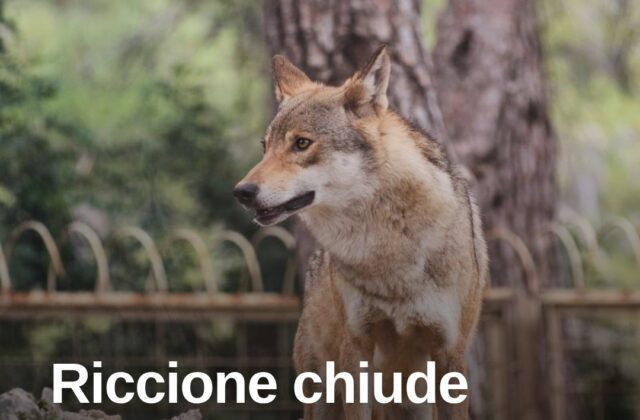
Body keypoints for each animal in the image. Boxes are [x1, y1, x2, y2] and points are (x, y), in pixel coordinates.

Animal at [233, 46, 487, 420]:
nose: (242, 192)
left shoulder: (451, 354)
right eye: (265, 147)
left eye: (302, 143)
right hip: (322, 393)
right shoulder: (356, 349)